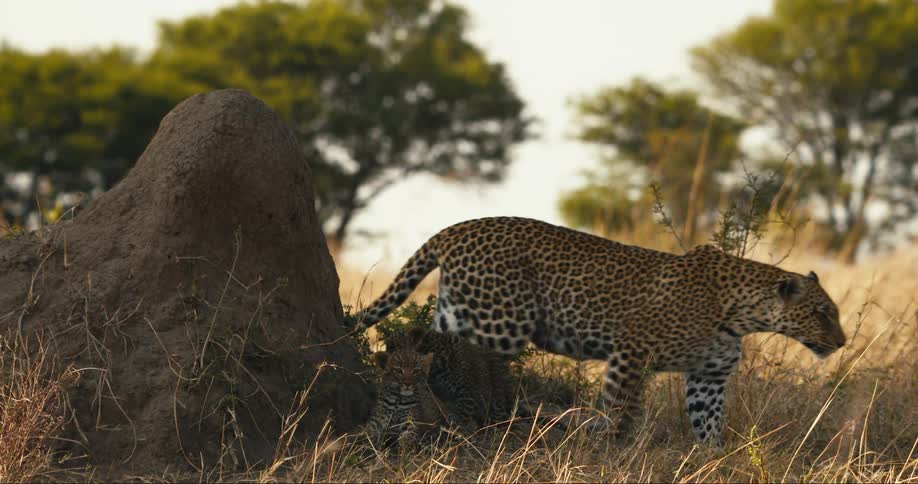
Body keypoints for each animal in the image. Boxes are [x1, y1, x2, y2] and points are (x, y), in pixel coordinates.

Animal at [346, 216, 846, 443]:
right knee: (459, 353)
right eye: (823, 313)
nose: (841, 342)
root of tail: (457, 228)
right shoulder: (632, 354)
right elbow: (620, 411)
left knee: (430, 337)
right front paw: (608, 449)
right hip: (499, 322)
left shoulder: (709, 376)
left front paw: (712, 458)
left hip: (463, 309)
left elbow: (708, 423)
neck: (743, 314)